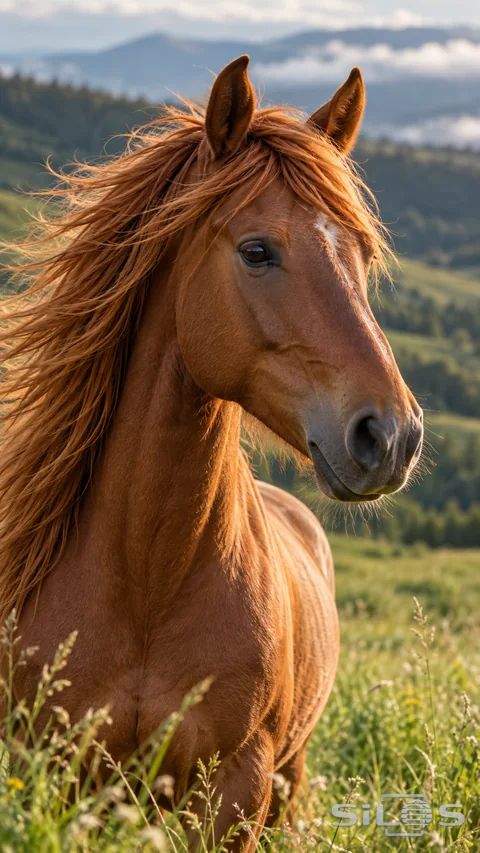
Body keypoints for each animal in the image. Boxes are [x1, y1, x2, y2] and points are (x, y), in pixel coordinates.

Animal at [0, 56, 423, 849]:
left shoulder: (235, 792)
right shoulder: (56, 778)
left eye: (361, 254)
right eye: (257, 250)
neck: (147, 582)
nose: (391, 437)